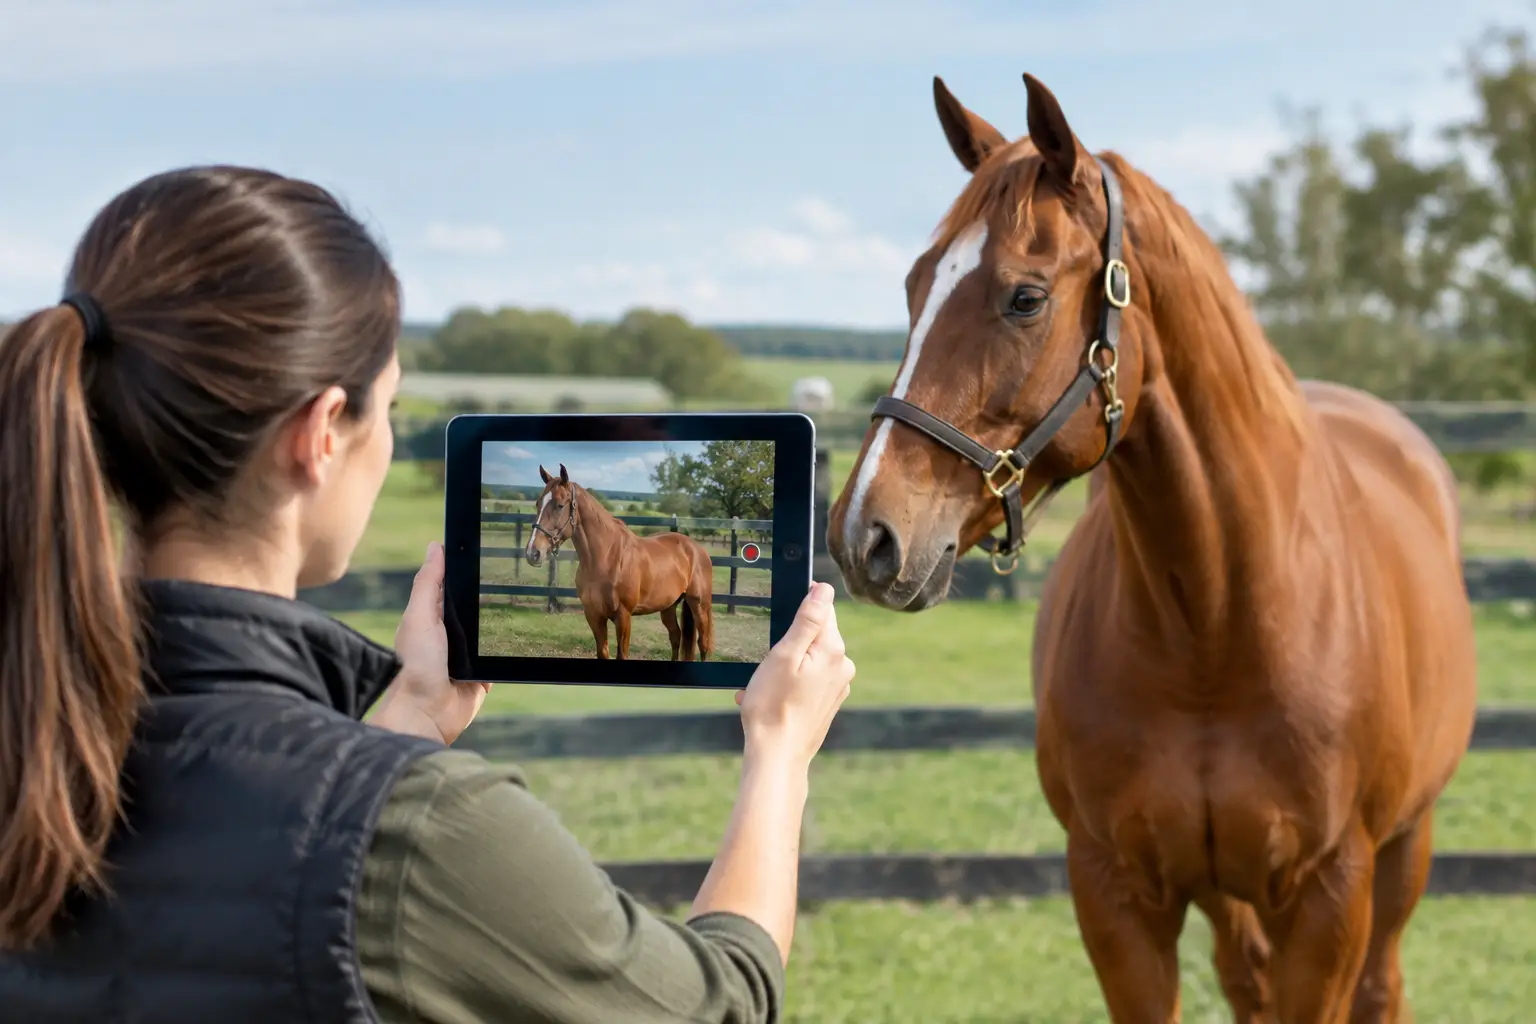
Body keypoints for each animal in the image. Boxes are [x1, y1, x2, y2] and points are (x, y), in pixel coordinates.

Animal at [525, 464, 715, 661]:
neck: (606, 557)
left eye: (560, 505)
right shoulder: (594, 615)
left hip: (700, 605)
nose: (533, 552)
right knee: (676, 636)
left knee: (703, 644)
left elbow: (622, 654)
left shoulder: (624, 616)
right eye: (538, 504)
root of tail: (697, 549)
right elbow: (603, 652)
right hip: (668, 606)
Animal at [827, 73, 1477, 1023]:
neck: (1215, 624)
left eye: (1025, 297)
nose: (865, 534)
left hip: (1402, 853)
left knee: (1382, 987)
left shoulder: (1329, 899)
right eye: (915, 286)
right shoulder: (1117, 890)